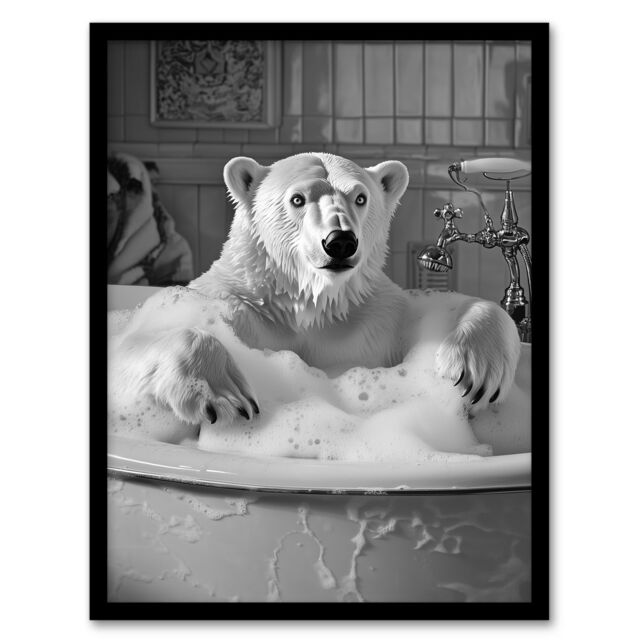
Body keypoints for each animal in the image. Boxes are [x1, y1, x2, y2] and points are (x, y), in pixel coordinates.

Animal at [109, 152, 520, 439]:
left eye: (360, 198)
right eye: (297, 199)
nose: (340, 242)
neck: (306, 305)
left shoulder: (376, 317)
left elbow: (434, 311)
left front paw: (474, 371)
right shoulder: (229, 304)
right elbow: (135, 340)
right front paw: (223, 393)